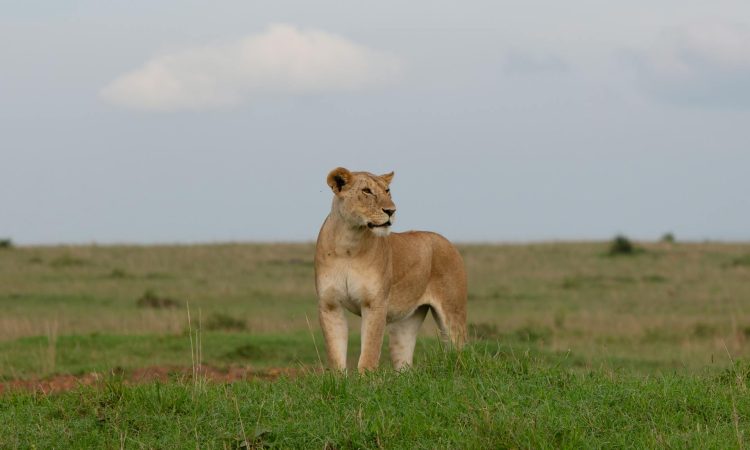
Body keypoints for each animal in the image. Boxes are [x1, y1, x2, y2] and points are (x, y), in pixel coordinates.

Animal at [315, 167, 467, 372]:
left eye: (387, 191)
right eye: (367, 191)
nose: (391, 211)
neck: (348, 243)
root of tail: (447, 241)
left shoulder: (375, 304)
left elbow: (369, 351)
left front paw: (366, 378)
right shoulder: (329, 305)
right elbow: (335, 353)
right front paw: (339, 378)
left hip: (453, 313)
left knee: (460, 349)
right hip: (404, 323)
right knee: (404, 362)